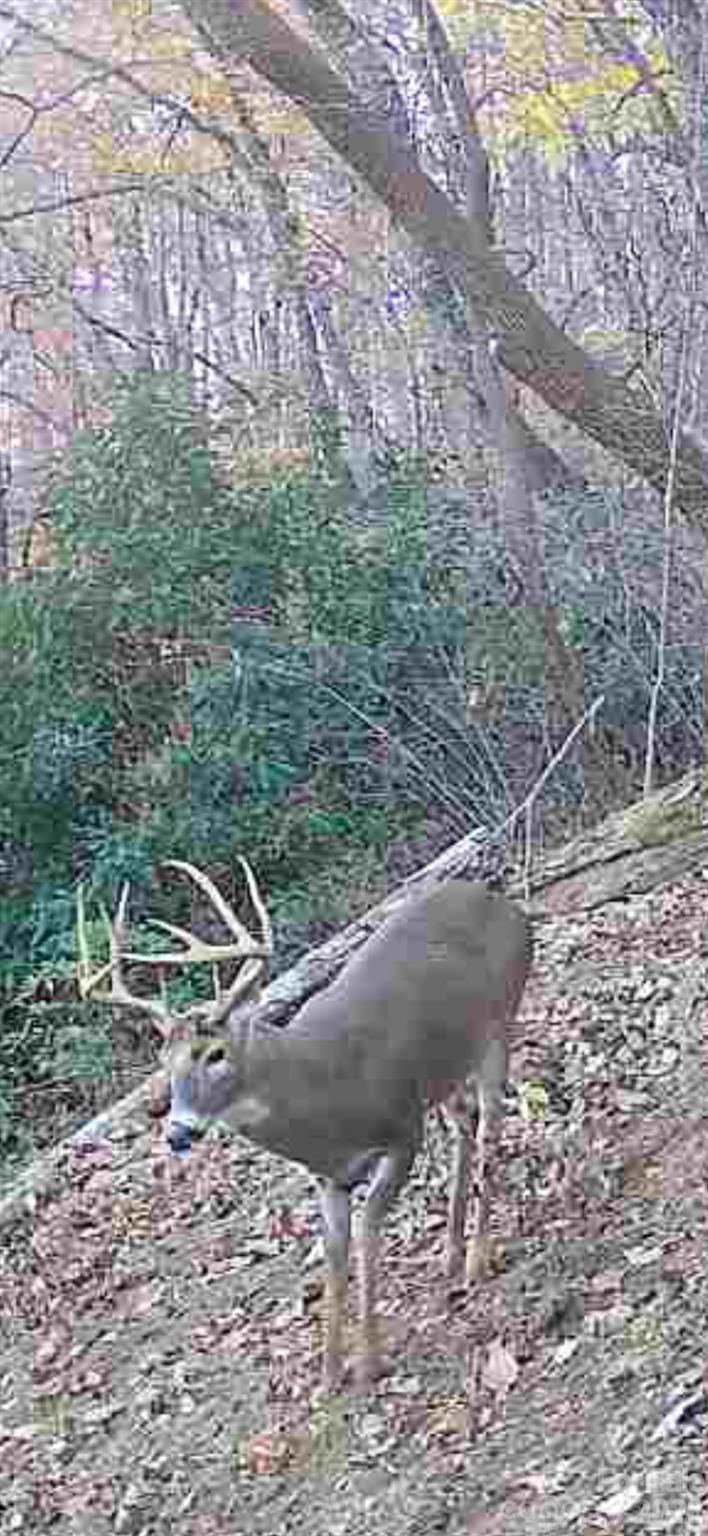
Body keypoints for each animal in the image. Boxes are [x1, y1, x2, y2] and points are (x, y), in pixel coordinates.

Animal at [77, 859, 532, 1392]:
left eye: (215, 1053)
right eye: (164, 1063)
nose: (178, 1133)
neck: (325, 1097)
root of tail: (507, 905)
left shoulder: (403, 1131)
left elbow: (367, 1233)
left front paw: (370, 1362)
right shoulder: (329, 1177)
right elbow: (334, 1250)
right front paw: (329, 1375)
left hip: (500, 1021)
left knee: (490, 1125)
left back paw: (480, 1259)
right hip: (445, 1071)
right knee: (465, 1122)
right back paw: (451, 1255)